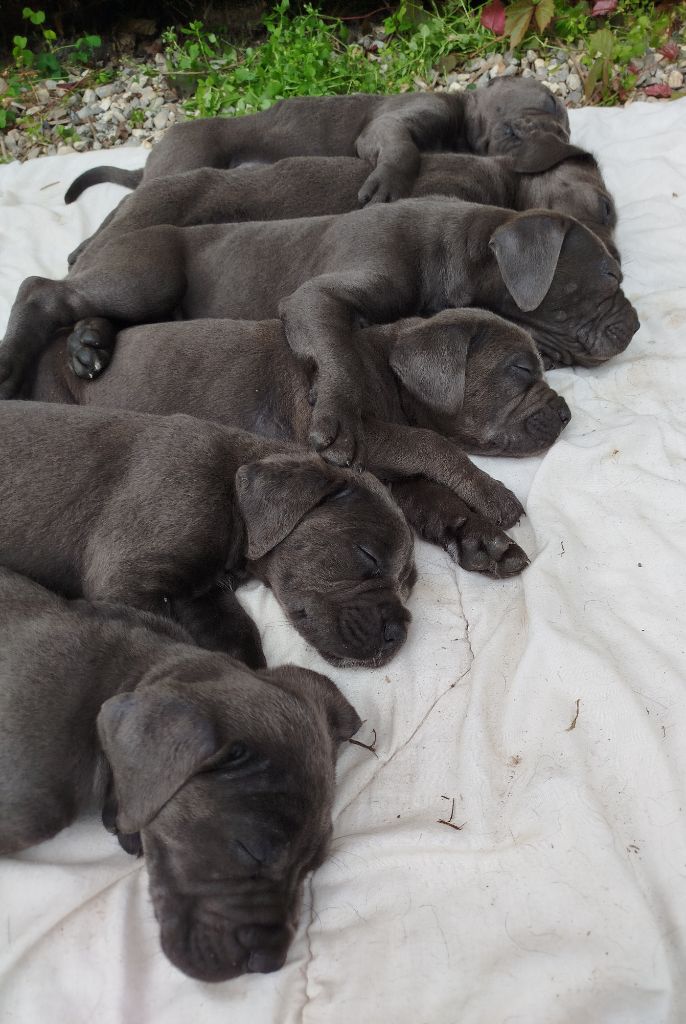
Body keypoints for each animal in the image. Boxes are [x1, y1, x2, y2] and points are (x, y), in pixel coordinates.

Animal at [0, 195, 638, 468]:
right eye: (609, 275)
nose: (633, 327)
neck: (455, 248)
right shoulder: (318, 297)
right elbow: (338, 351)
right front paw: (336, 422)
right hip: (148, 275)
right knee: (41, 288)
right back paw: (13, 366)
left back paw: (88, 346)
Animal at [0, 403, 415, 667]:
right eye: (367, 555)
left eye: (408, 587)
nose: (399, 632)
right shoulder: (126, 582)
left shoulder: (204, 597)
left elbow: (240, 639)